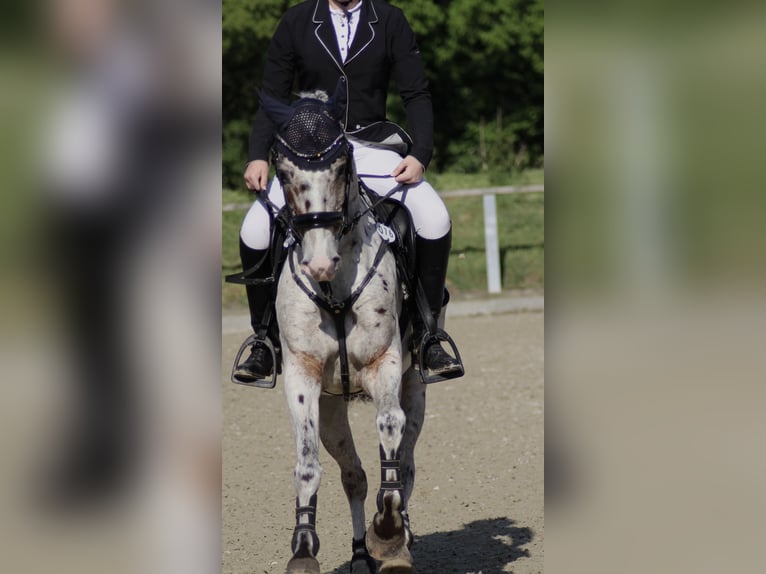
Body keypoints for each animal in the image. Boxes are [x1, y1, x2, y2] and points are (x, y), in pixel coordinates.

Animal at [256, 86, 428, 574]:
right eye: (282, 170)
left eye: (341, 165)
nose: (318, 263)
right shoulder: (303, 375)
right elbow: (307, 464)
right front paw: (302, 550)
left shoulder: (383, 362)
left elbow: (390, 430)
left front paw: (388, 531)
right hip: (332, 406)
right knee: (354, 475)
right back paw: (359, 554)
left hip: (415, 383)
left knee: (405, 462)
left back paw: (398, 541)